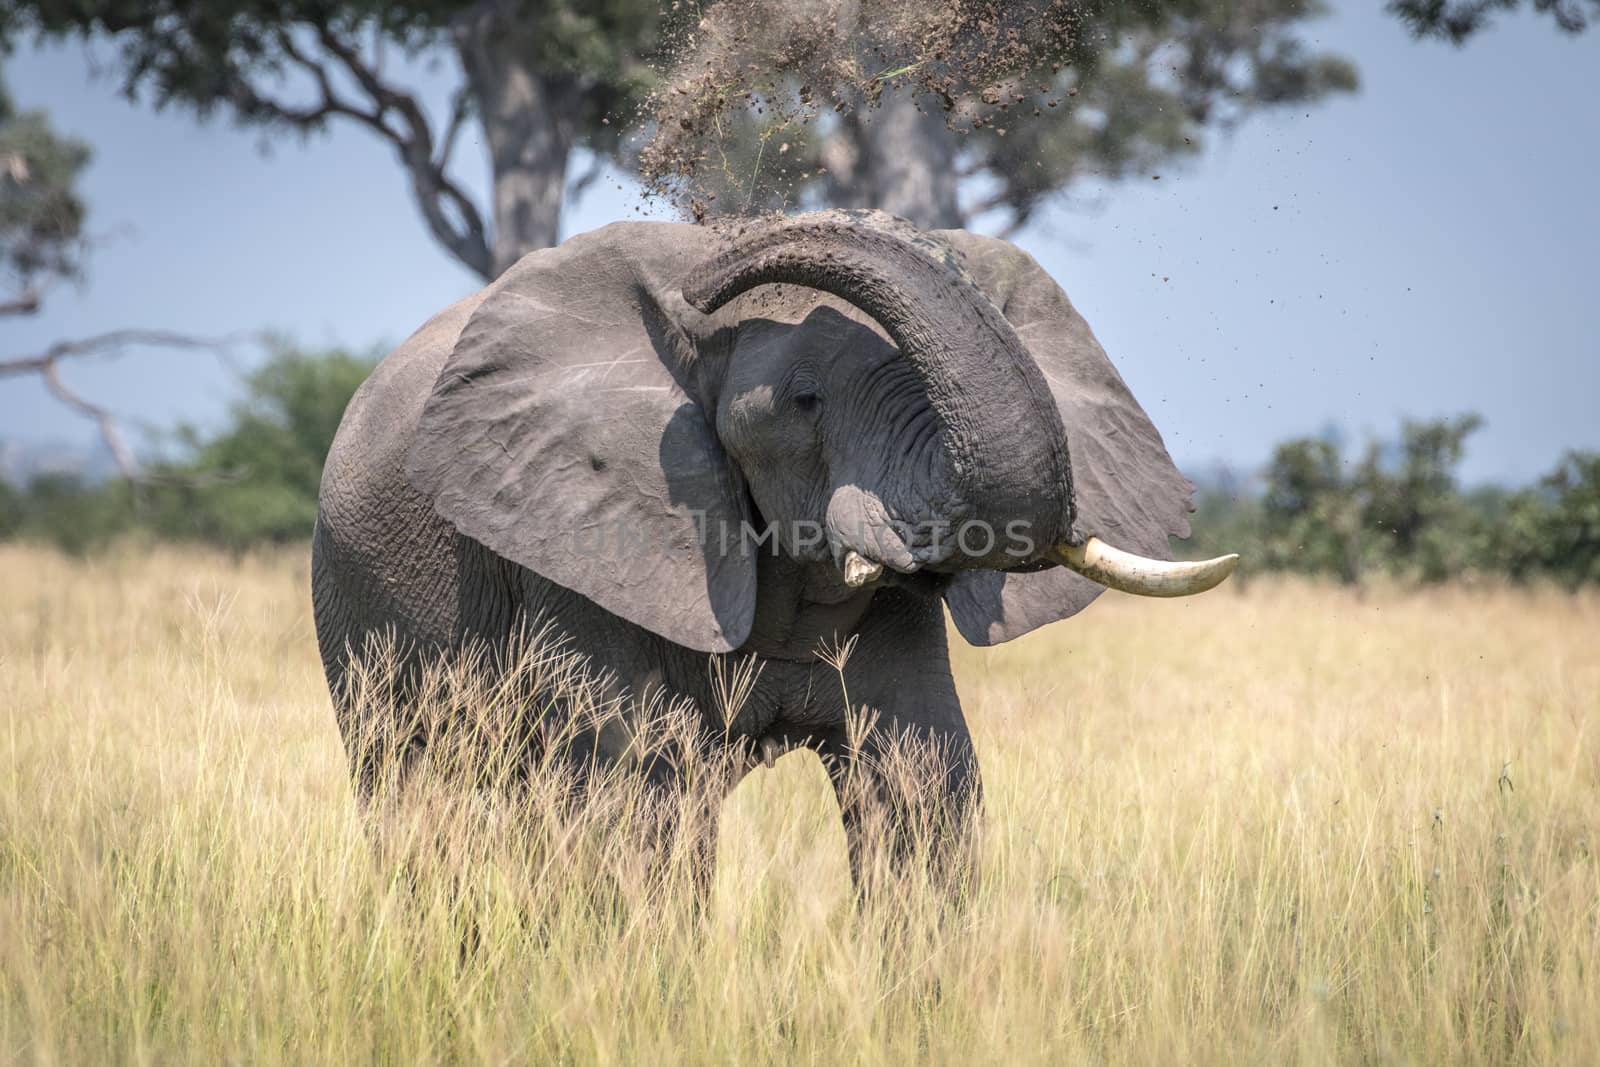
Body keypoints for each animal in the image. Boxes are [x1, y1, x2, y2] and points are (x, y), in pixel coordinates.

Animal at [312, 207, 1235, 883]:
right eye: (805, 398)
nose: (708, 272)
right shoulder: (576, 557)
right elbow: (636, 794)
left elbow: (924, 786)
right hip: (355, 606)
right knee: (421, 794)